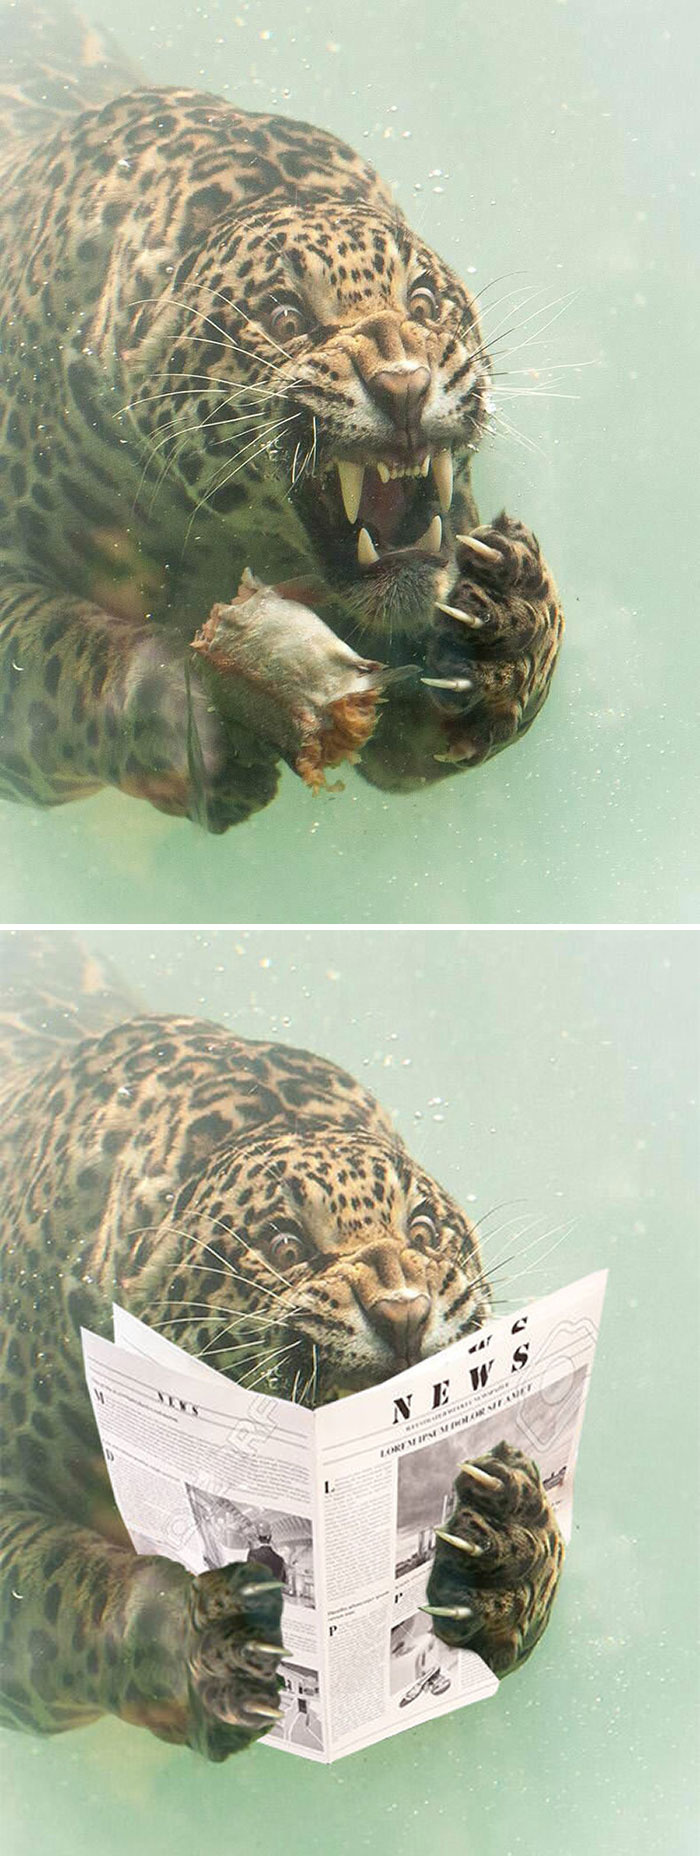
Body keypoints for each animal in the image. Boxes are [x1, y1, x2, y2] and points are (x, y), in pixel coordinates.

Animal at [0, 1, 564, 833]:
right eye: (287, 317)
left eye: (424, 302)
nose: (403, 385)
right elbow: (57, 656)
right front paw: (176, 712)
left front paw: (510, 626)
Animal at [0, 933, 564, 1762]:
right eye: (285, 1244)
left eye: (424, 1230)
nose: (403, 1312)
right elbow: (67, 1588)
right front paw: (200, 1643)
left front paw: (504, 1554)